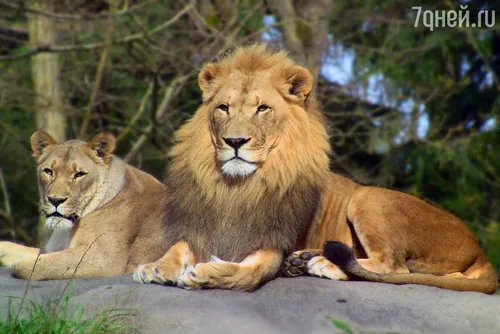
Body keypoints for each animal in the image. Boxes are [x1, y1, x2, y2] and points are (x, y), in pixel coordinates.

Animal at [0, 130, 168, 280]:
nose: (55, 200)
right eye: (48, 171)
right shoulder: (54, 248)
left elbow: (27, 266)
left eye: (79, 174)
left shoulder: (102, 259)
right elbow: (14, 248)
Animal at [135, 43, 498, 292]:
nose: (234, 141)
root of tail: (479, 249)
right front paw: (155, 267)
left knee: (396, 267)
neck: (237, 187)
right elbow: (177, 248)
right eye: (223, 108)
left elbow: (245, 273)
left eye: (263, 109)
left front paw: (206, 274)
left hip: (367, 198)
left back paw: (325, 264)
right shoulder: (202, 228)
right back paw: (304, 260)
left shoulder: (269, 246)